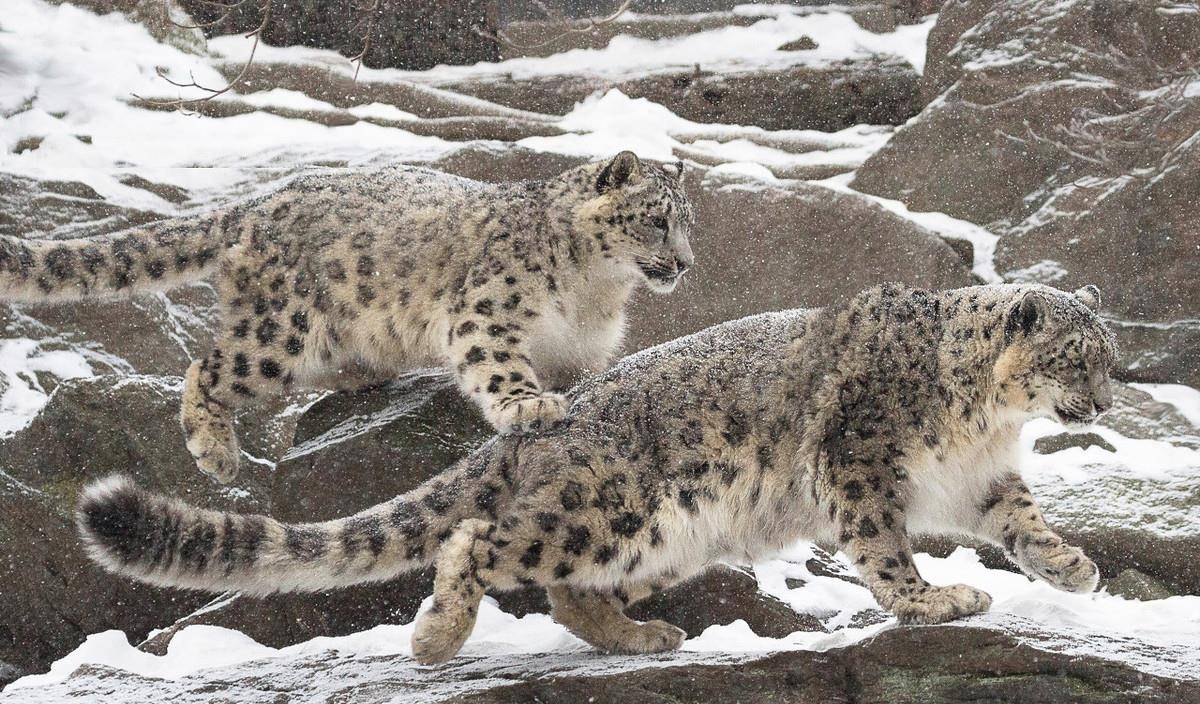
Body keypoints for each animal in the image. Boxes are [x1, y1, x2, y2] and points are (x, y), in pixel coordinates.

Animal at [0, 152, 696, 484]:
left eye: (688, 221)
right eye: (656, 219)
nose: (686, 263)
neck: (596, 291)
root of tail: (258, 203)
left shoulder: (585, 349)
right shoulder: (487, 314)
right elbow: (499, 366)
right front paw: (531, 406)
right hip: (280, 331)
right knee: (207, 365)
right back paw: (217, 453)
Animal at [75, 284, 1108, 662]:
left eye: (1107, 356)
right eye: (1075, 357)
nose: (1101, 402)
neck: (984, 422)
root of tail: (540, 423)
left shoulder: (982, 481)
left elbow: (1023, 521)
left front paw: (1074, 567)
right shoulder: (861, 462)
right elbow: (885, 548)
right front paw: (939, 601)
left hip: (660, 538)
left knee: (571, 589)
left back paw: (638, 636)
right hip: (611, 506)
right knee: (479, 538)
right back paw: (436, 638)